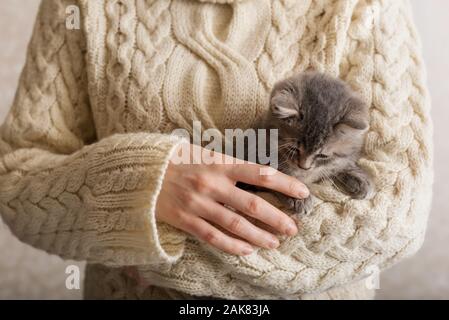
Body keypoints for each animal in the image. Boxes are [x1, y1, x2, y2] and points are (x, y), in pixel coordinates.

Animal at [260, 72, 372, 215]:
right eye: (293, 149)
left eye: (322, 156)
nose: (304, 167)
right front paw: (298, 196)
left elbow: (338, 164)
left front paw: (358, 178)